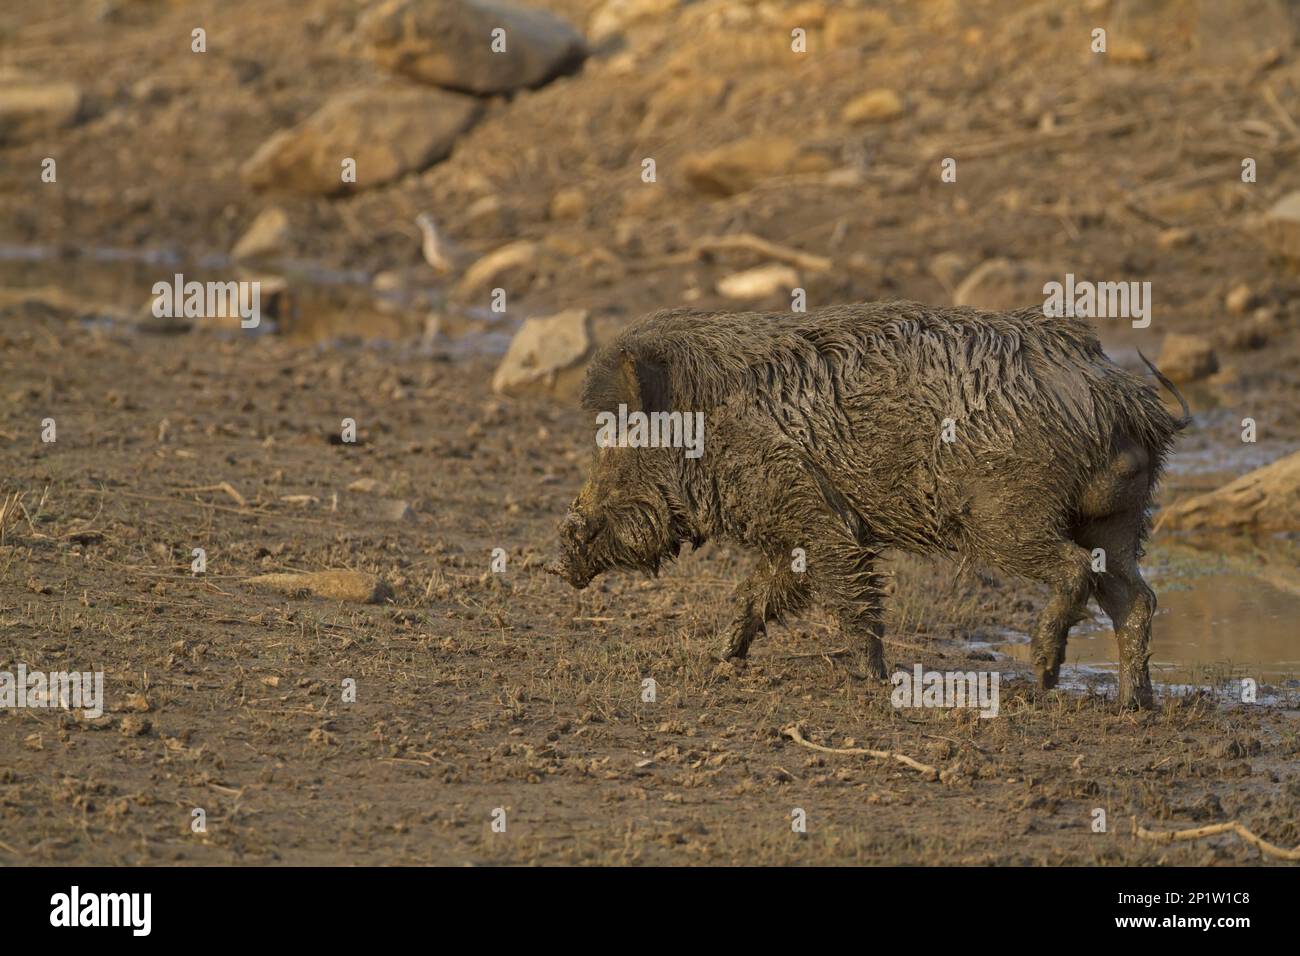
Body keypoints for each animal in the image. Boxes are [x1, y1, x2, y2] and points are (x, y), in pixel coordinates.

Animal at [547, 301, 1189, 709]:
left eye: (622, 449)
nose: (559, 555)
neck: (713, 427)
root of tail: (1114, 397)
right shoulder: (792, 532)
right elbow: (759, 593)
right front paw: (722, 656)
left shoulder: (817, 515)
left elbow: (849, 592)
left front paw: (873, 677)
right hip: (1117, 519)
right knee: (1137, 598)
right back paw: (1134, 705)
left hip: (1007, 515)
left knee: (1074, 571)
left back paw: (1044, 676)